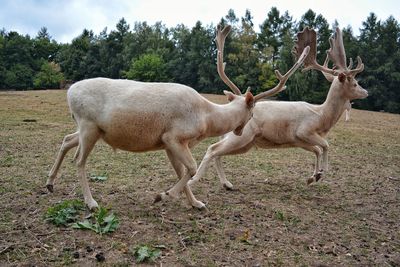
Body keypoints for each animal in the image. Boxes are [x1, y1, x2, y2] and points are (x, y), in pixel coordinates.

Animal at [47, 24, 310, 209]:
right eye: (253, 111)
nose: (239, 130)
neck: (205, 118)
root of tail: (69, 92)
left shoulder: (167, 143)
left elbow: (181, 171)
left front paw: (196, 204)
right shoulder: (174, 136)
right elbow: (191, 169)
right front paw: (162, 195)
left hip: (89, 129)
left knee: (67, 140)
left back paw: (49, 183)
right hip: (89, 125)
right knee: (79, 160)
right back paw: (91, 203)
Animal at [189, 26, 368, 191]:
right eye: (355, 83)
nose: (366, 92)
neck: (322, 117)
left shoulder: (299, 140)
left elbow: (317, 150)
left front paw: (313, 177)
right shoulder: (304, 131)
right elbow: (325, 145)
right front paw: (323, 171)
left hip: (244, 143)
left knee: (218, 153)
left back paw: (227, 184)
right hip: (242, 137)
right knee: (212, 149)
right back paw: (192, 181)